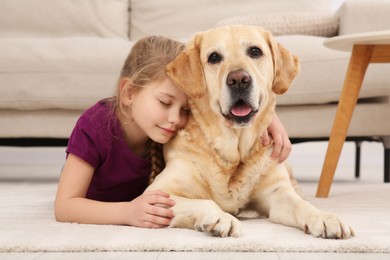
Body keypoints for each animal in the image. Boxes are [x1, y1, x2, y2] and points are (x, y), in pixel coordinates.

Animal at [146, 25, 354, 239]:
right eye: (214, 57)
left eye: (255, 51)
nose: (239, 79)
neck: (233, 154)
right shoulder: (158, 193)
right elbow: (205, 201)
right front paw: (221, 217)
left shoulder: (277, 192)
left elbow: (301, 205)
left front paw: (325, 217)